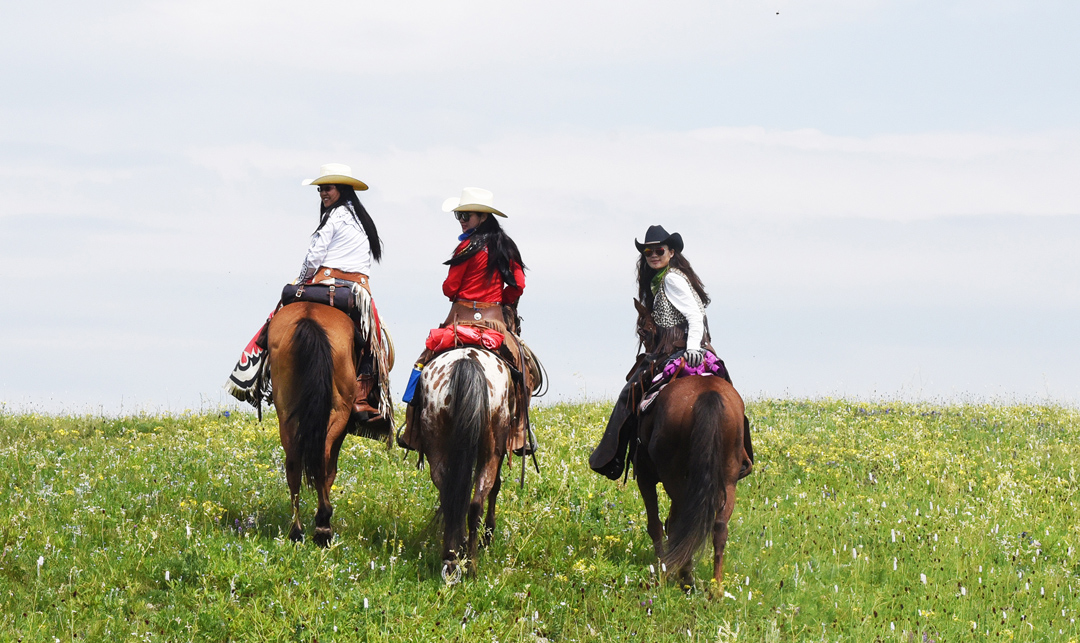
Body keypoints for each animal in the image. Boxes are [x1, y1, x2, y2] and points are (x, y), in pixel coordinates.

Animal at [266, 304, 358, 546]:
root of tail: (309, 316)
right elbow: (331, 470)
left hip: (286, 413)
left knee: (293, 463)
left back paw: (296, 531)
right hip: (339, 412)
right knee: (322, 457)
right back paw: (323, 526)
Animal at [410, 350, 516, 579]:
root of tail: (468, 360)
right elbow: (496, 487)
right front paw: (488, 536)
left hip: (435, 442)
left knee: (450, 497)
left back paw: (452, 556)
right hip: (492, 449)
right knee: (477, 502)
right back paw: (472, 564)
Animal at [630, 300, 751, 592]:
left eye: (642, 331)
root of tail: (708, 394)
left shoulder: (646, 476)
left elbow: (656, 523)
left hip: (674, 476)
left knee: (682, 520)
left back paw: (683, 575)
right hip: (727, 478)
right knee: (718, 525)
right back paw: (714, 588)